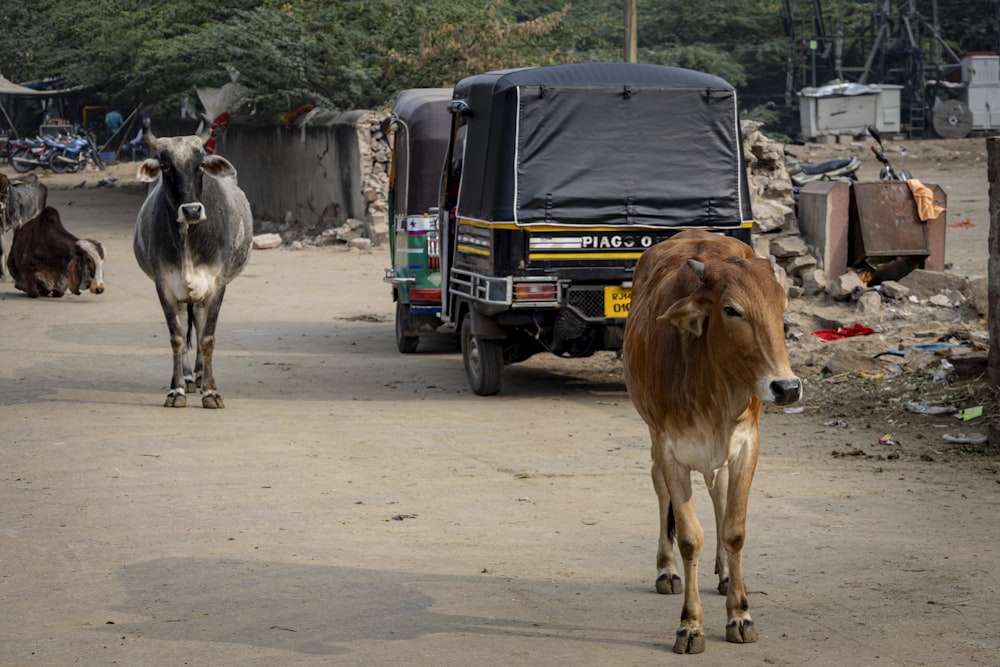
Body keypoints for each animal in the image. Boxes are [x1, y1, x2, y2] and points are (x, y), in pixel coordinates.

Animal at [620, 228, 800, 652]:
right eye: (731, 310)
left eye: (781, 306)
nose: (787, 388)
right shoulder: (670, 450)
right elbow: (689, 537)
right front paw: (690, 625)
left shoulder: (747, 444)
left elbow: (734, 529)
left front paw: (740, 615)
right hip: (653, 436)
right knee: (659, 488)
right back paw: (666, 570)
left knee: (718, 493)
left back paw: (725, 574)